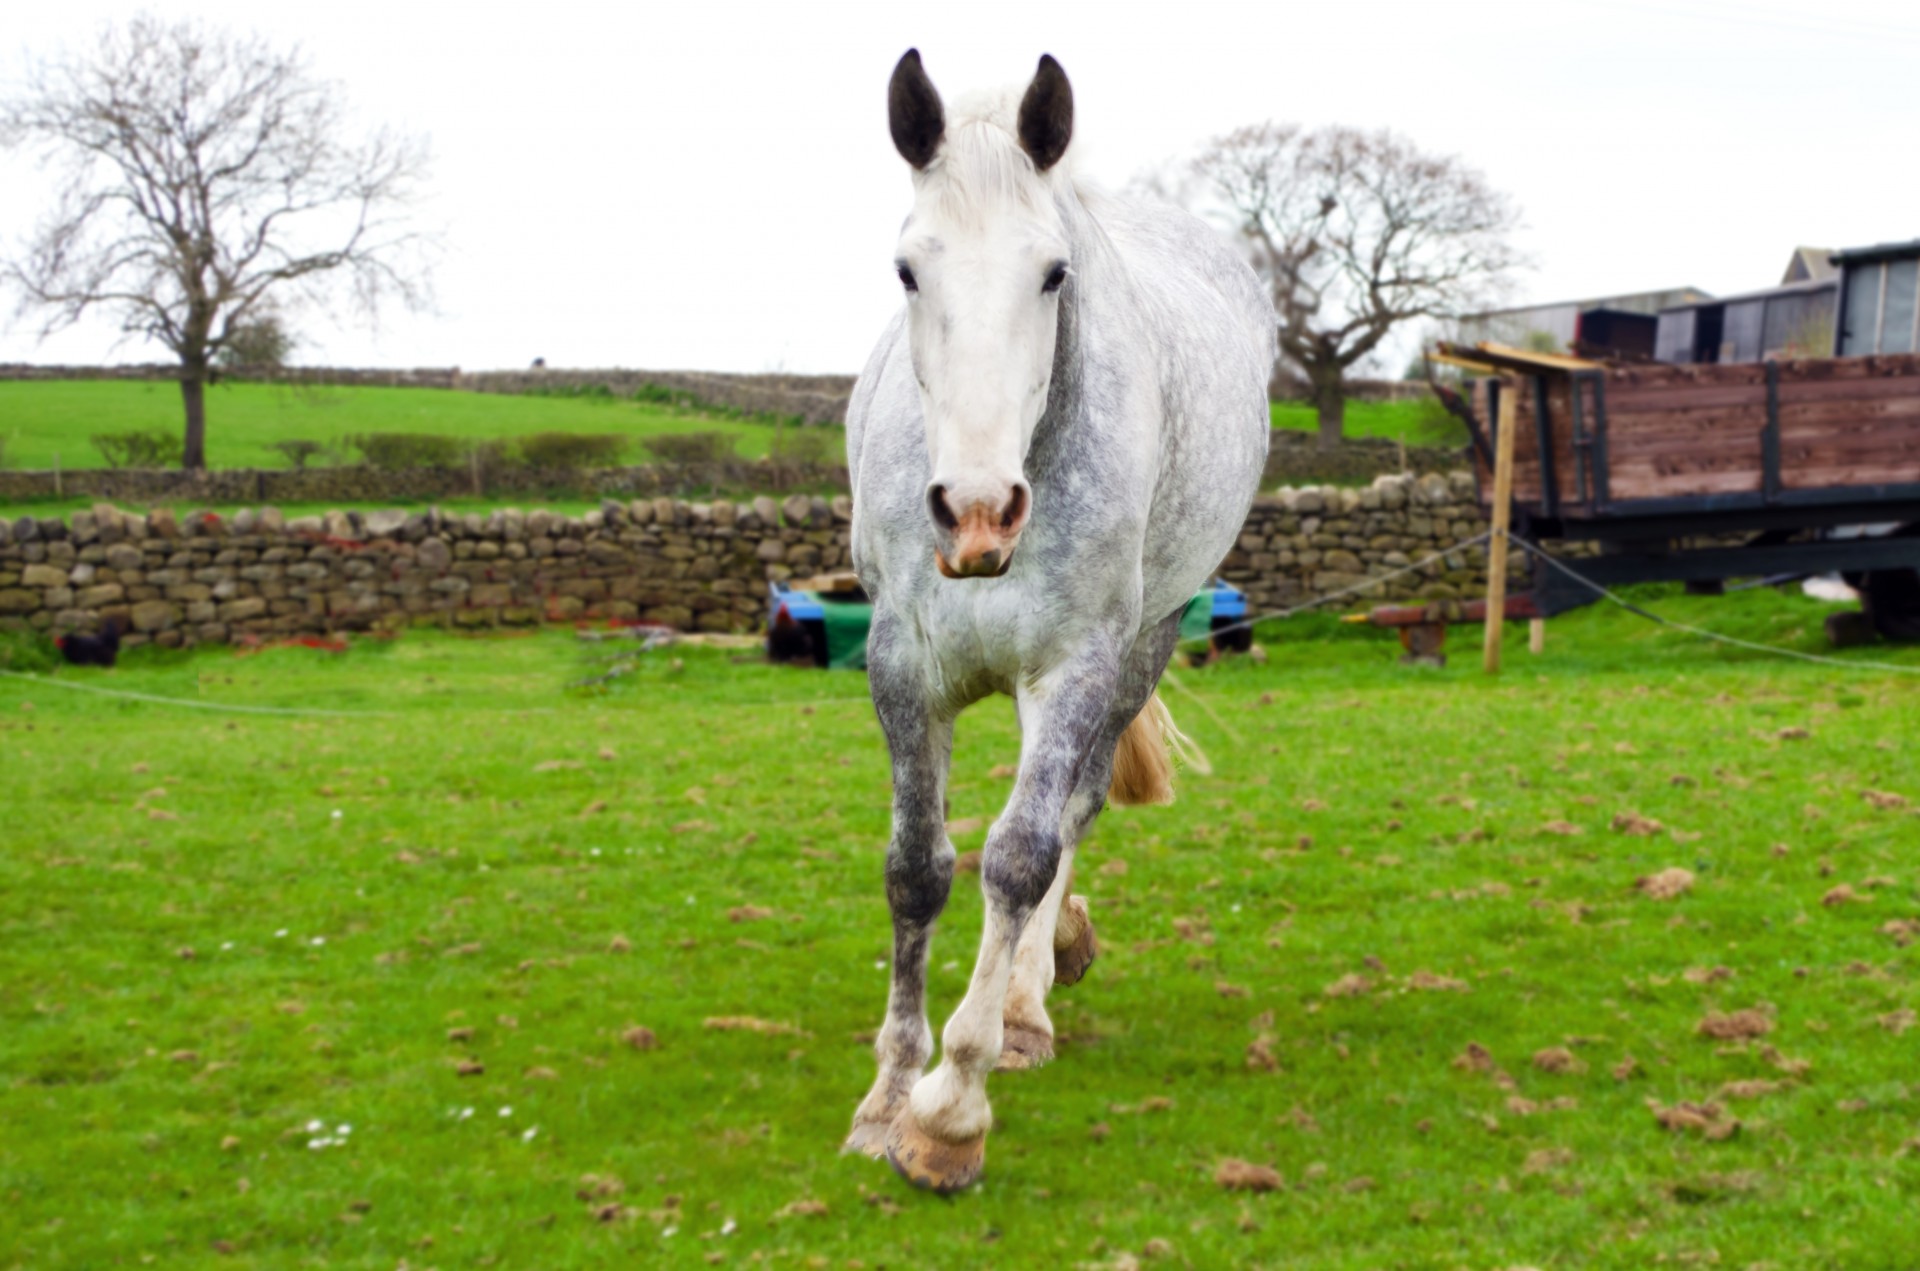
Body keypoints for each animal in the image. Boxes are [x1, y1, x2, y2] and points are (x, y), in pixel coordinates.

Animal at [844, 49, 1274, 1198]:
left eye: (1052, 274)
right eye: (907, 271)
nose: (977, 510)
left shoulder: (1077, 667)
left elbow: (1021, 853)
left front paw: (951, 1110)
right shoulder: (902, 665)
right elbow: (917, 866)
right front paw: (888, 1093)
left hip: (1140, 649)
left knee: (1068, 814)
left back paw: (1028, 1003)